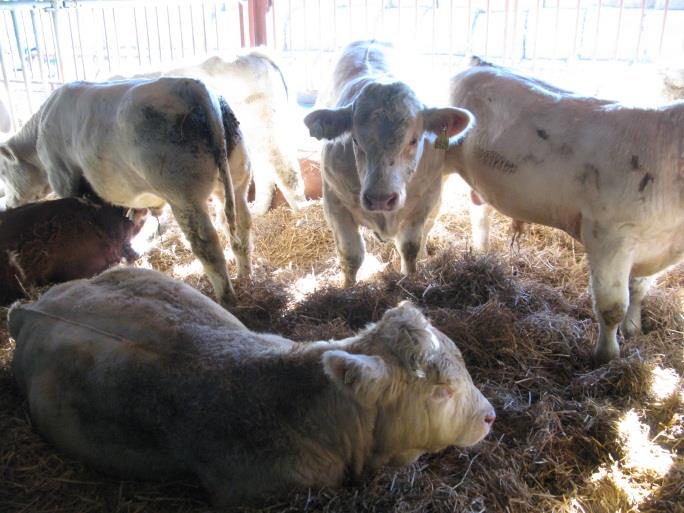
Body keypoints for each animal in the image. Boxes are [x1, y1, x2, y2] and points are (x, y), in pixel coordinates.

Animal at [0, 78, 252, 306]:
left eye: (3, 173)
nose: (7, 204)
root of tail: (196, 88)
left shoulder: (64, 178)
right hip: (236, 181)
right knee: (240, 225)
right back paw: (245, 275)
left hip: (185, 196)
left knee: (206, 244)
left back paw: (226, 299)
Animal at [111, 50, 306, 214]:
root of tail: (253, 54)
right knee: (264, 170)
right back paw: (258, 211)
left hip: (263, 128)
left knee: (284, 169)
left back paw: (302, 213)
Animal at [302, 41, 472, 284]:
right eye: (355, 140)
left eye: (414, 139)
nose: (380, 199)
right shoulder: (334, 203)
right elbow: (351, 254)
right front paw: (348, 287)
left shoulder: (426, 199)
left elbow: (410, 247)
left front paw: (410, 277)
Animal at [446, 57, 684, 364]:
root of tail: (478, 62)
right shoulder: (609, 237)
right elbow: (612, 307)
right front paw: (606, 356)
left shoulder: (660, 242)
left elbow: (640, 289)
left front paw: (634, 329)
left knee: (480, 213)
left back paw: (482, 254)